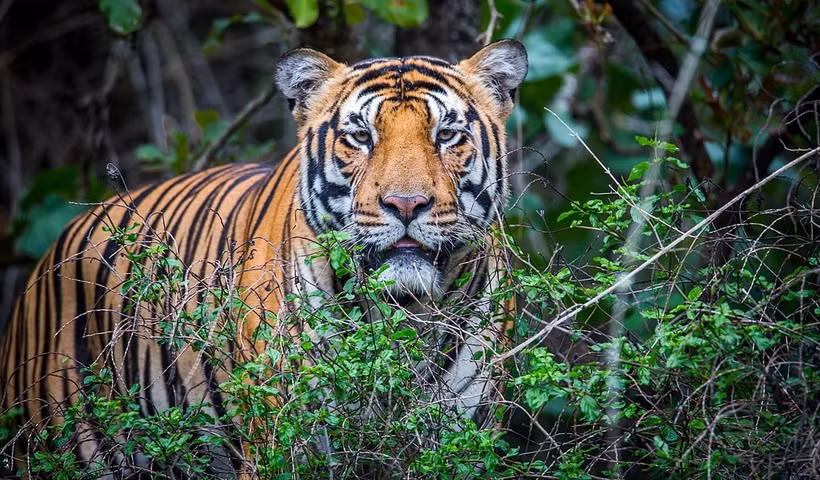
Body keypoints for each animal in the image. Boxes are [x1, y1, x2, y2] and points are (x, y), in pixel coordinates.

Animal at [0, 39, 528, 477]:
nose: (405, 204)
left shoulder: (465, 436)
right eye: (360, 137)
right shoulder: (291, 443)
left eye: (446, 135)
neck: (406, 315)